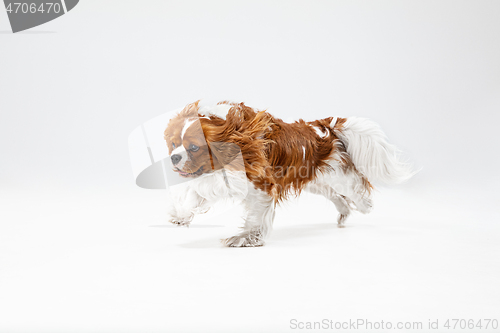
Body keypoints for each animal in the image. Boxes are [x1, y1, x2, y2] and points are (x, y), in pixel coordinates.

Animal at [164, 101, 414, 246]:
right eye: (174, 144)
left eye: (193, 147)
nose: (173, 158)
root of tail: (325, 127)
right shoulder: (220, 177)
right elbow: (194, 194)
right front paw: (181, 215)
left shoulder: (262, 186)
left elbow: (255, 218)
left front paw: (246, 238)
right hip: (315, 181)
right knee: (336, 196)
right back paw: (344, 212)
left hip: (337, 175)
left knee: (356, 187)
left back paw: (365, 205)